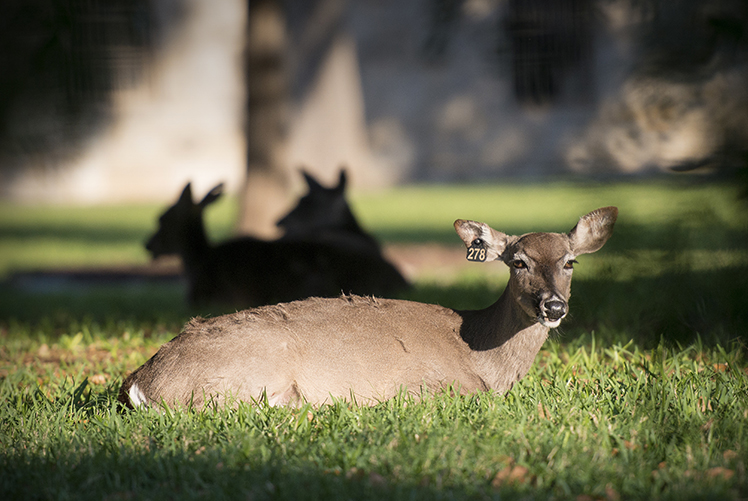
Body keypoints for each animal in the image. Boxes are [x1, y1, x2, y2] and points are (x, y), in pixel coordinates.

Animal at [120, 206, 616, 406]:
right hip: (251, 374)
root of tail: (142, 382)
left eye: (570, 262)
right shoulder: (436, 385)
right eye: (518, 261)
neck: (481, 356)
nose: (553, 307)